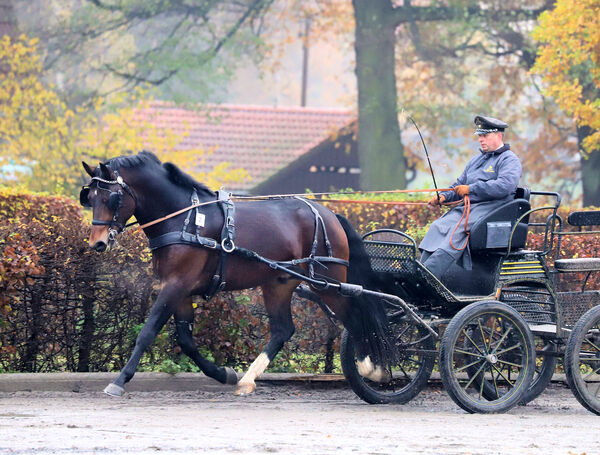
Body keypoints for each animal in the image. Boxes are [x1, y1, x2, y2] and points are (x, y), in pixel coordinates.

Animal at [79, 151, 392, 398]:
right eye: (89, 197)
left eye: (112, 198)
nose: (98, 243)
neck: (184, 219)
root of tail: (328, 214)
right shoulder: (180, 289)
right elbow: (186, 341)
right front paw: (223, 373)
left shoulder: (176, 285)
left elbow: (148, 331)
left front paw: (120, 380)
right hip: (280, 283)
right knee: (283, 329)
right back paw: (247, 380)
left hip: (328, 282)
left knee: (354, 315)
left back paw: (371, 367)